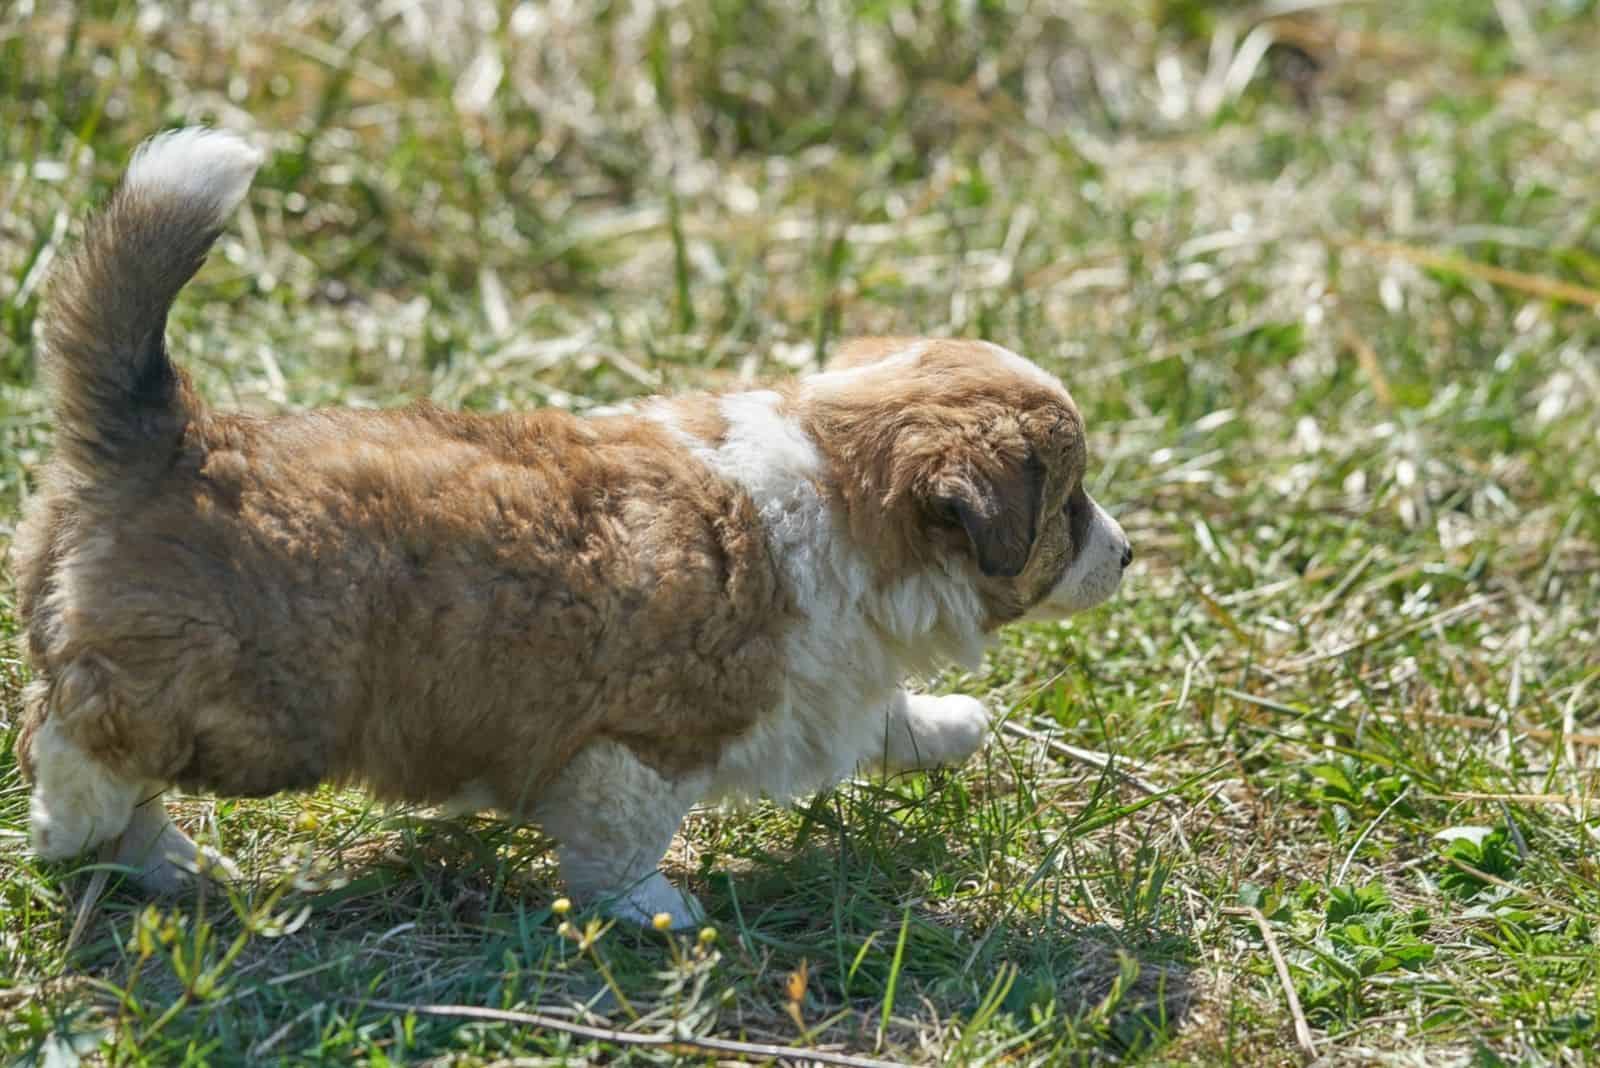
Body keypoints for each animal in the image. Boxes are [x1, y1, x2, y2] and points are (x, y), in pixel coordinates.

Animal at [15, 127, 1139, 927]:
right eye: (1069, 505)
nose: (1128, 554)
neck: (840, 492)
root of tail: (172, 435)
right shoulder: (642, 742)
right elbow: (621, 841)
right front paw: (656, 910)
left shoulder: (828, 681)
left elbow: (883, 716)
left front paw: (951, 726)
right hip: (251, 707)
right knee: (78, 743)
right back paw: (76, 831)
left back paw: (168, 865)